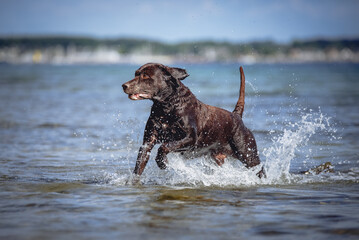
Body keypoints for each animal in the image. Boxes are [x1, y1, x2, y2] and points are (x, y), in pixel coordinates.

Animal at [122, 62, 262, 177]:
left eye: (145, 76)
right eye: (136, 74)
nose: (124, 85)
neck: (167, 107)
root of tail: (236, 116)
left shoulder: (190, 138)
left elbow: (164, 146)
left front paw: (163, 162)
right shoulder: (148, 141)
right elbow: (139, 166)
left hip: (248, 155)